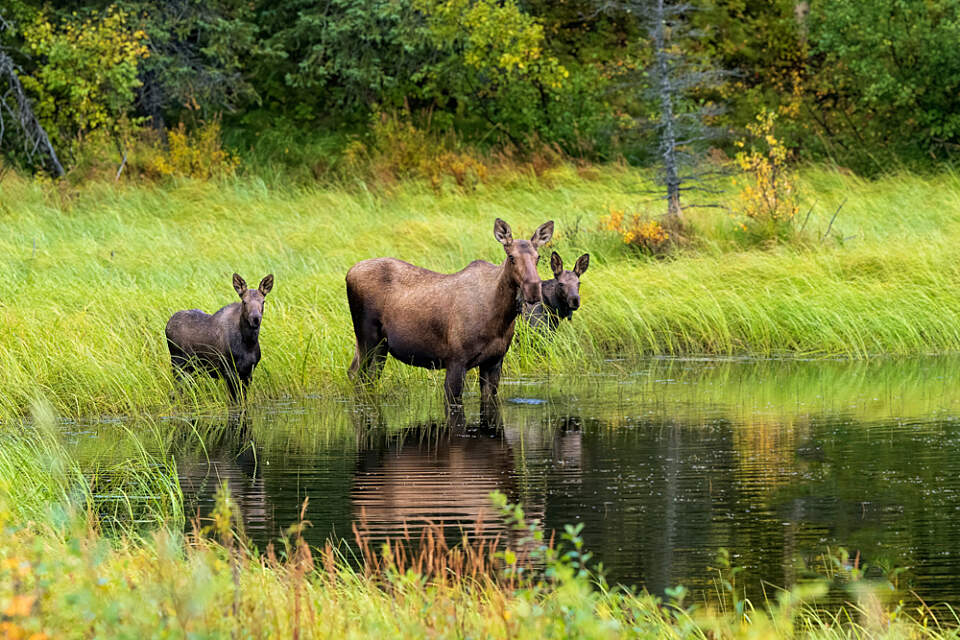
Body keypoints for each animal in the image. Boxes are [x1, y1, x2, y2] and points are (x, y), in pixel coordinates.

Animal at [165, 272, 274, 402]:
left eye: (263, 301)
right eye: (244, 301)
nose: (255, 319)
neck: (248, 343)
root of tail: (167, 325)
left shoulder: (248, 373)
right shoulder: (229, 372)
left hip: (192, 369)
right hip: (178, 364)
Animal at [344, 220, 556, 408]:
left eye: (538, 257)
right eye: (511, 257)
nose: (533, 290)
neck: (500, 318)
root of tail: (349, 273)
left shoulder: (494, 361)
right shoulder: (455, 361)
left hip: (381, 346)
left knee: (366, 377)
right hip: (366, 337)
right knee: (355, 374)